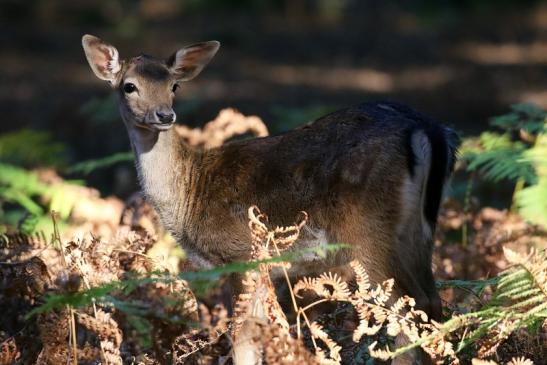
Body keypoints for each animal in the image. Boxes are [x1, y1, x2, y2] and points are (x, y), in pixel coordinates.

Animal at [81, 33, 458, 324]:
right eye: (129, 86)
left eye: (174, 86)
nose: (164, 114)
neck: (189, 194)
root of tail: (426, 129)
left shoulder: (239, 253)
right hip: (417, 233)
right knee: (432, 302)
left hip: (367, 230)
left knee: (404, 310)